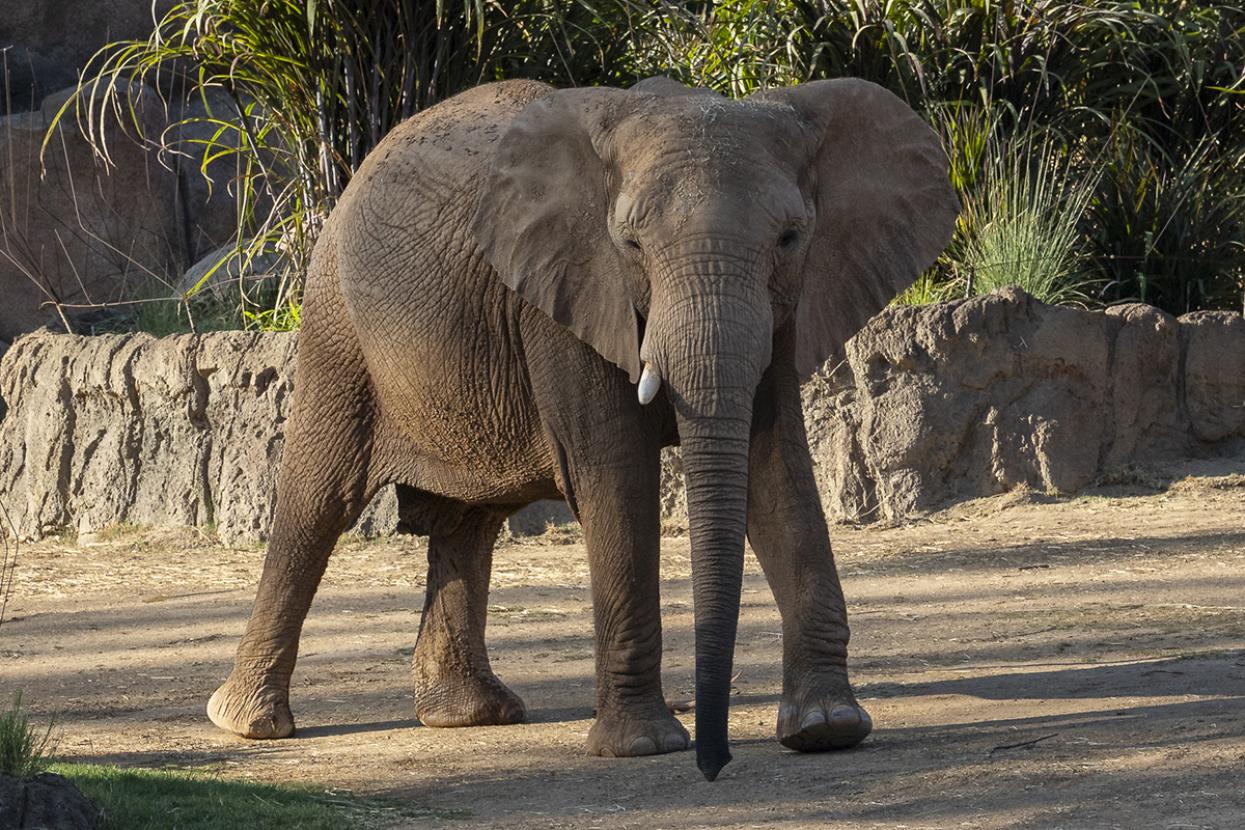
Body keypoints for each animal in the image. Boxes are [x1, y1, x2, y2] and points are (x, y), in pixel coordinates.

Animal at [207, 75, 958, 781]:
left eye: (790, 238)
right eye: (629, 243)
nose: (714, 761)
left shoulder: (786, 305)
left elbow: (775, 472)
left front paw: (827, 729)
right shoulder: (565, 293)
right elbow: (616, 475)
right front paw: (642, 748)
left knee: (468, 521)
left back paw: (470, 715)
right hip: (336, 322)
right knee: (318, 503)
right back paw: (249, 724)